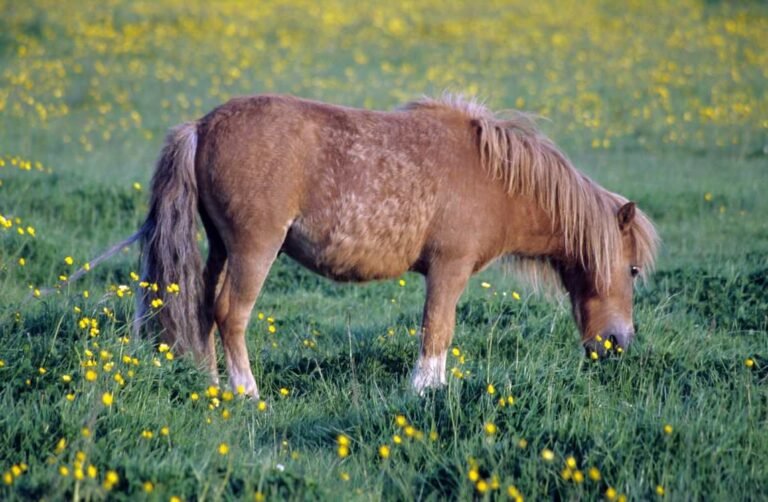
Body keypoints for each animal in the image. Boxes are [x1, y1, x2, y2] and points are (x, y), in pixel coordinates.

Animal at [122, 93, 658, 398]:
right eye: (632, 270)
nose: (618, 343)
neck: (498, 177)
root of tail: (201, 126)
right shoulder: (449, 269)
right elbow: (436, 331)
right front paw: (425, 392)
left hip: (220, 248)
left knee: (203, 311)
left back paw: (212, 386)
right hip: (254, 250)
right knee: (231, 315)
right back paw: (247, 393)